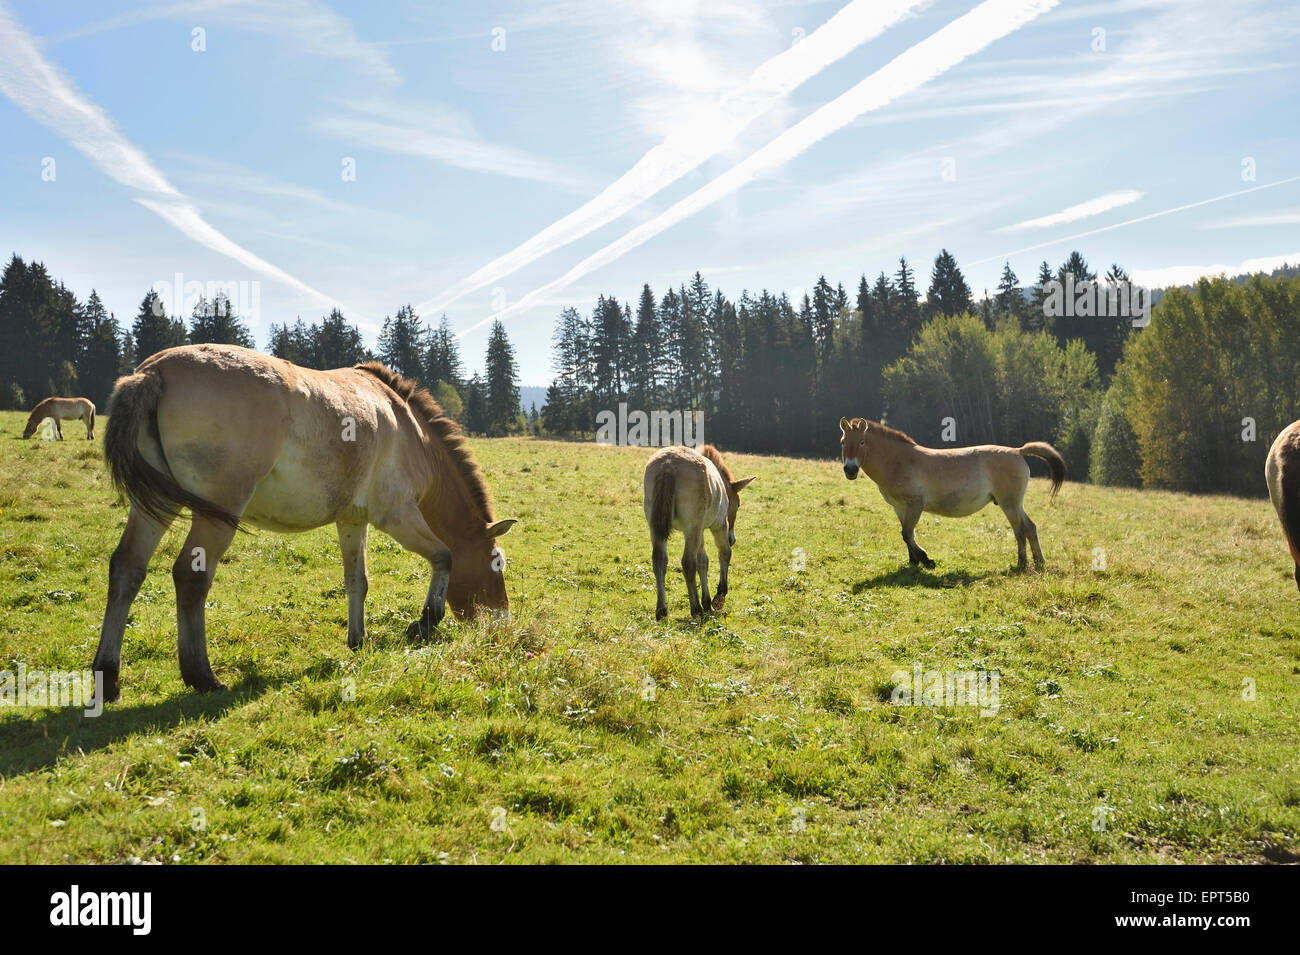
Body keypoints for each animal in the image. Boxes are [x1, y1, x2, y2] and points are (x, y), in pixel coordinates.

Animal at [94, 345, 517, 701]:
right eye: (496, 564)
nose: (502, 624)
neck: (408, 429)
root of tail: (155, 371)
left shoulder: (353, 521)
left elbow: (357, 582)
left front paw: (358, 640)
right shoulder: (396, 515)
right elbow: (444, 557)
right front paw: (426, 621)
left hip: (156, 505)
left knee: (128, 568)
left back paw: (108, 676)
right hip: (216, 513)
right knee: (190, 577)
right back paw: (202, 676)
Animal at [644, 446, 759, 621]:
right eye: (738, 504)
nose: (732, 539)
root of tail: (668, 464)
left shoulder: (699, 532)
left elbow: (703, 561)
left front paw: (707, 602)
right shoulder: (718, 525)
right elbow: (724, 553)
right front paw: (718, 598)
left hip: (657, 529)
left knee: (659, 561)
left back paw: (662, 611)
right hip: (693, 528)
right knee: (688, 562)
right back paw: (696, 609)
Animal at [842, 415, 1066, 566]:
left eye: (862, 442)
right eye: (843, 442)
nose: (850, 470)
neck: (899, 461)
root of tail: (1018, 451)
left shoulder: (915, 504)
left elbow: (907, 533)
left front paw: (926, 560)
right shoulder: (899, 507)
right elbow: (906, 534)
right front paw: (914, 561)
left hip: (1009, 504)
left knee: (1020, 530)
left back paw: (1022, 564)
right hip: (1015, 504)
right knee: (1030, 528)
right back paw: (1038, 562)